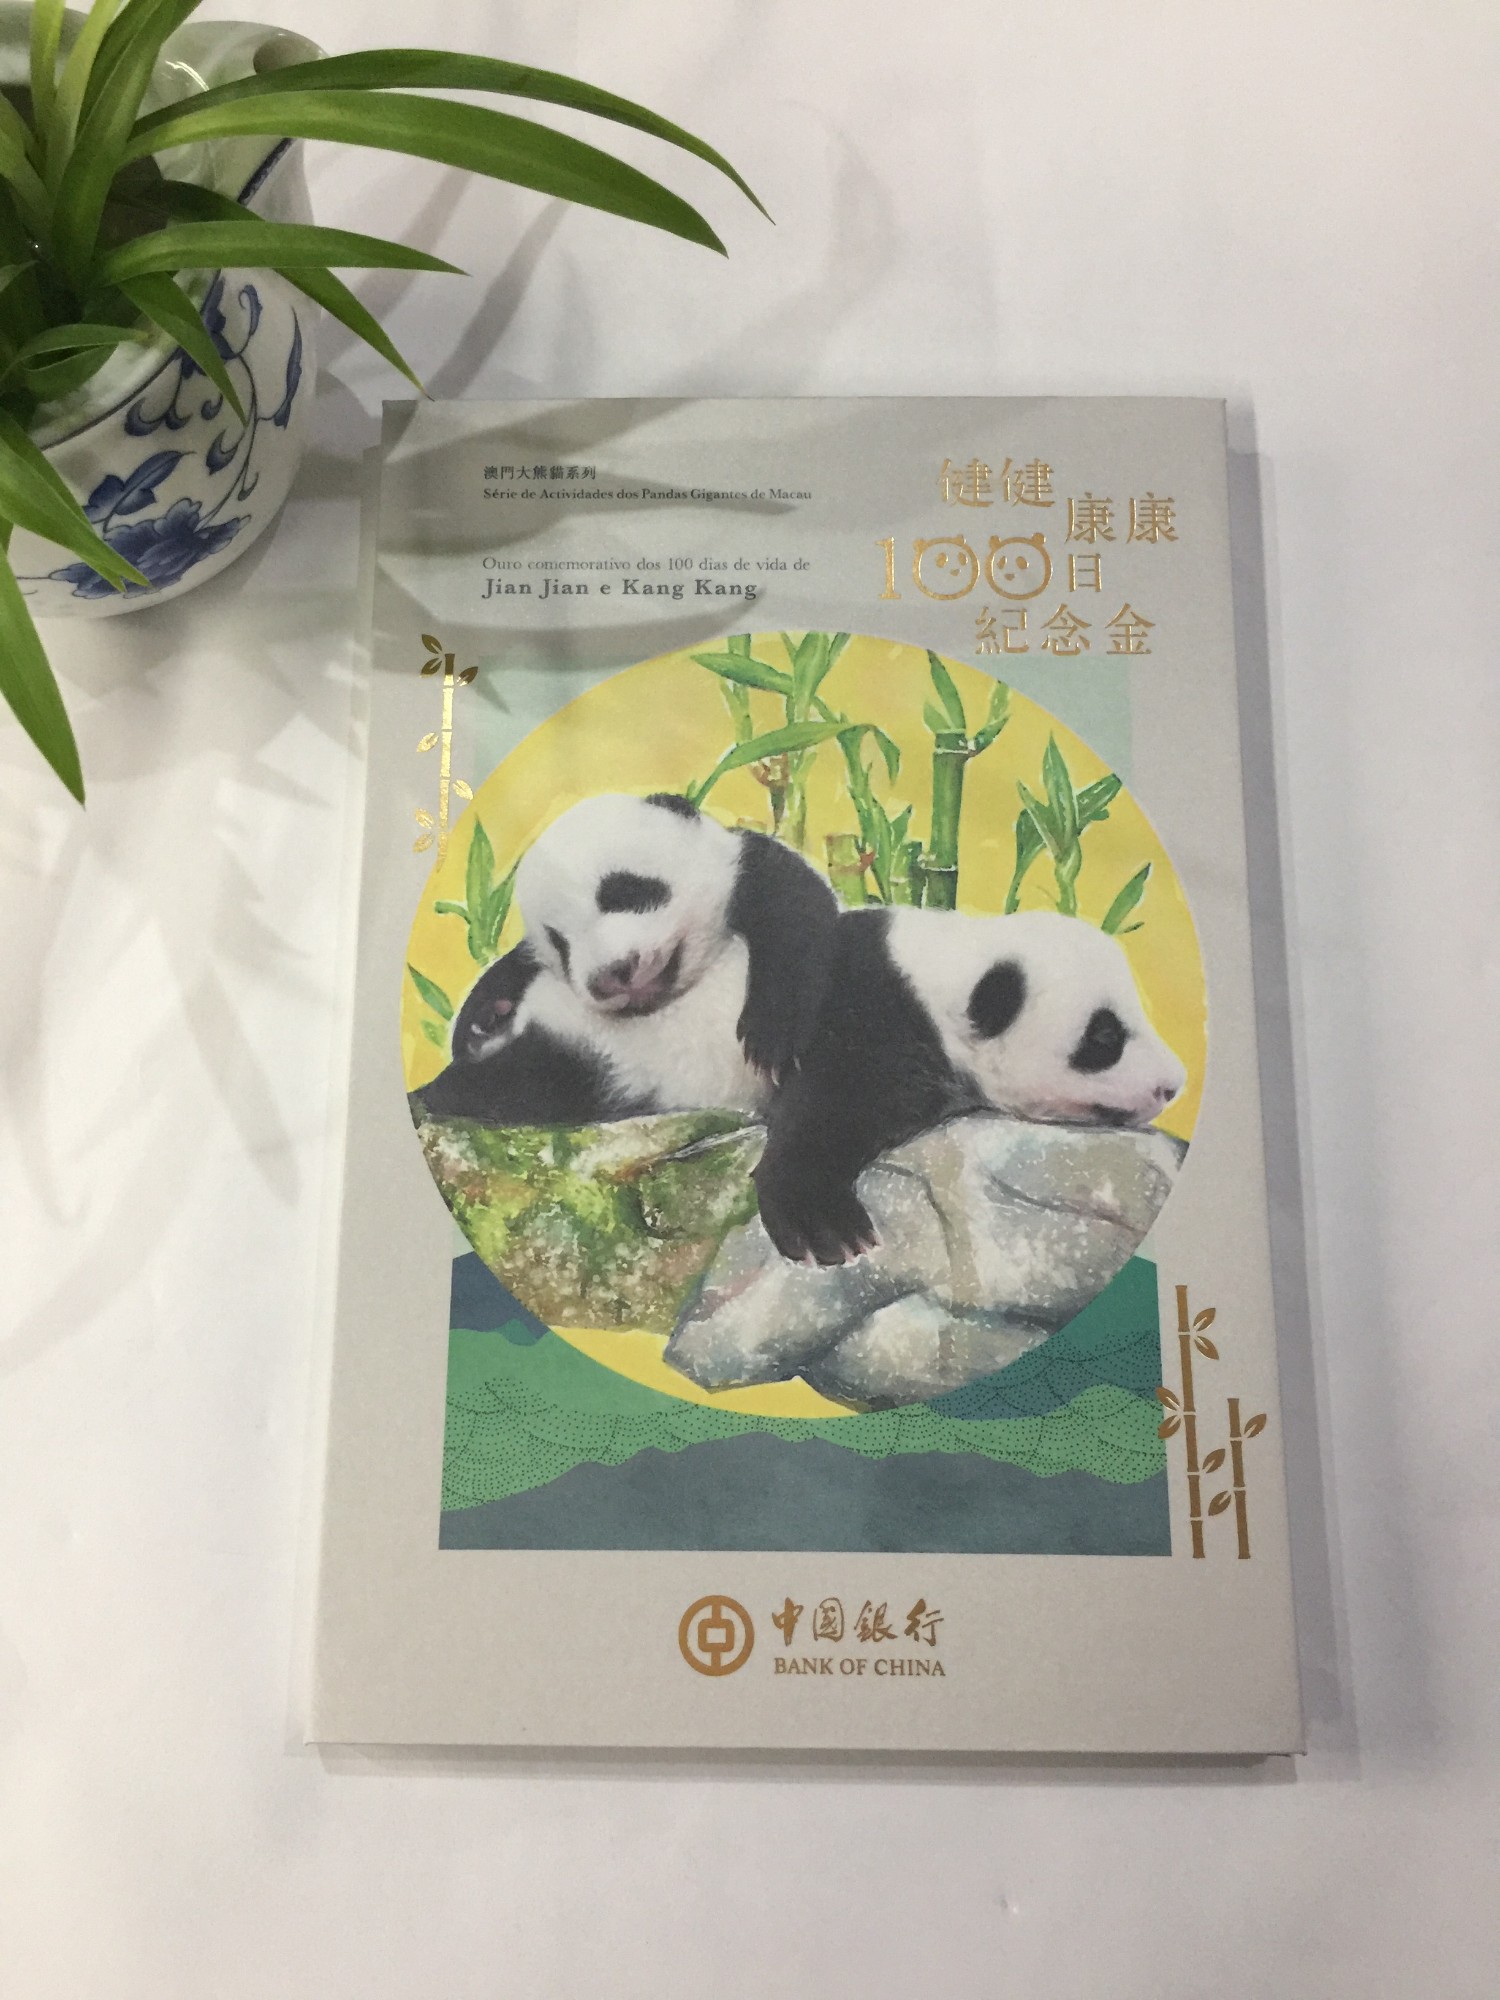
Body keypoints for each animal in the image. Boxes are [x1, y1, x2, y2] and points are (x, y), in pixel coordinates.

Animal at [411, 791, 840, 1126]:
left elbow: (792, 908)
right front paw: (478, 1019)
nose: (611, 974)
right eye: (560, 944)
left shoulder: (745, 875)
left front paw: (771, 1034)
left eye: (622, 892)